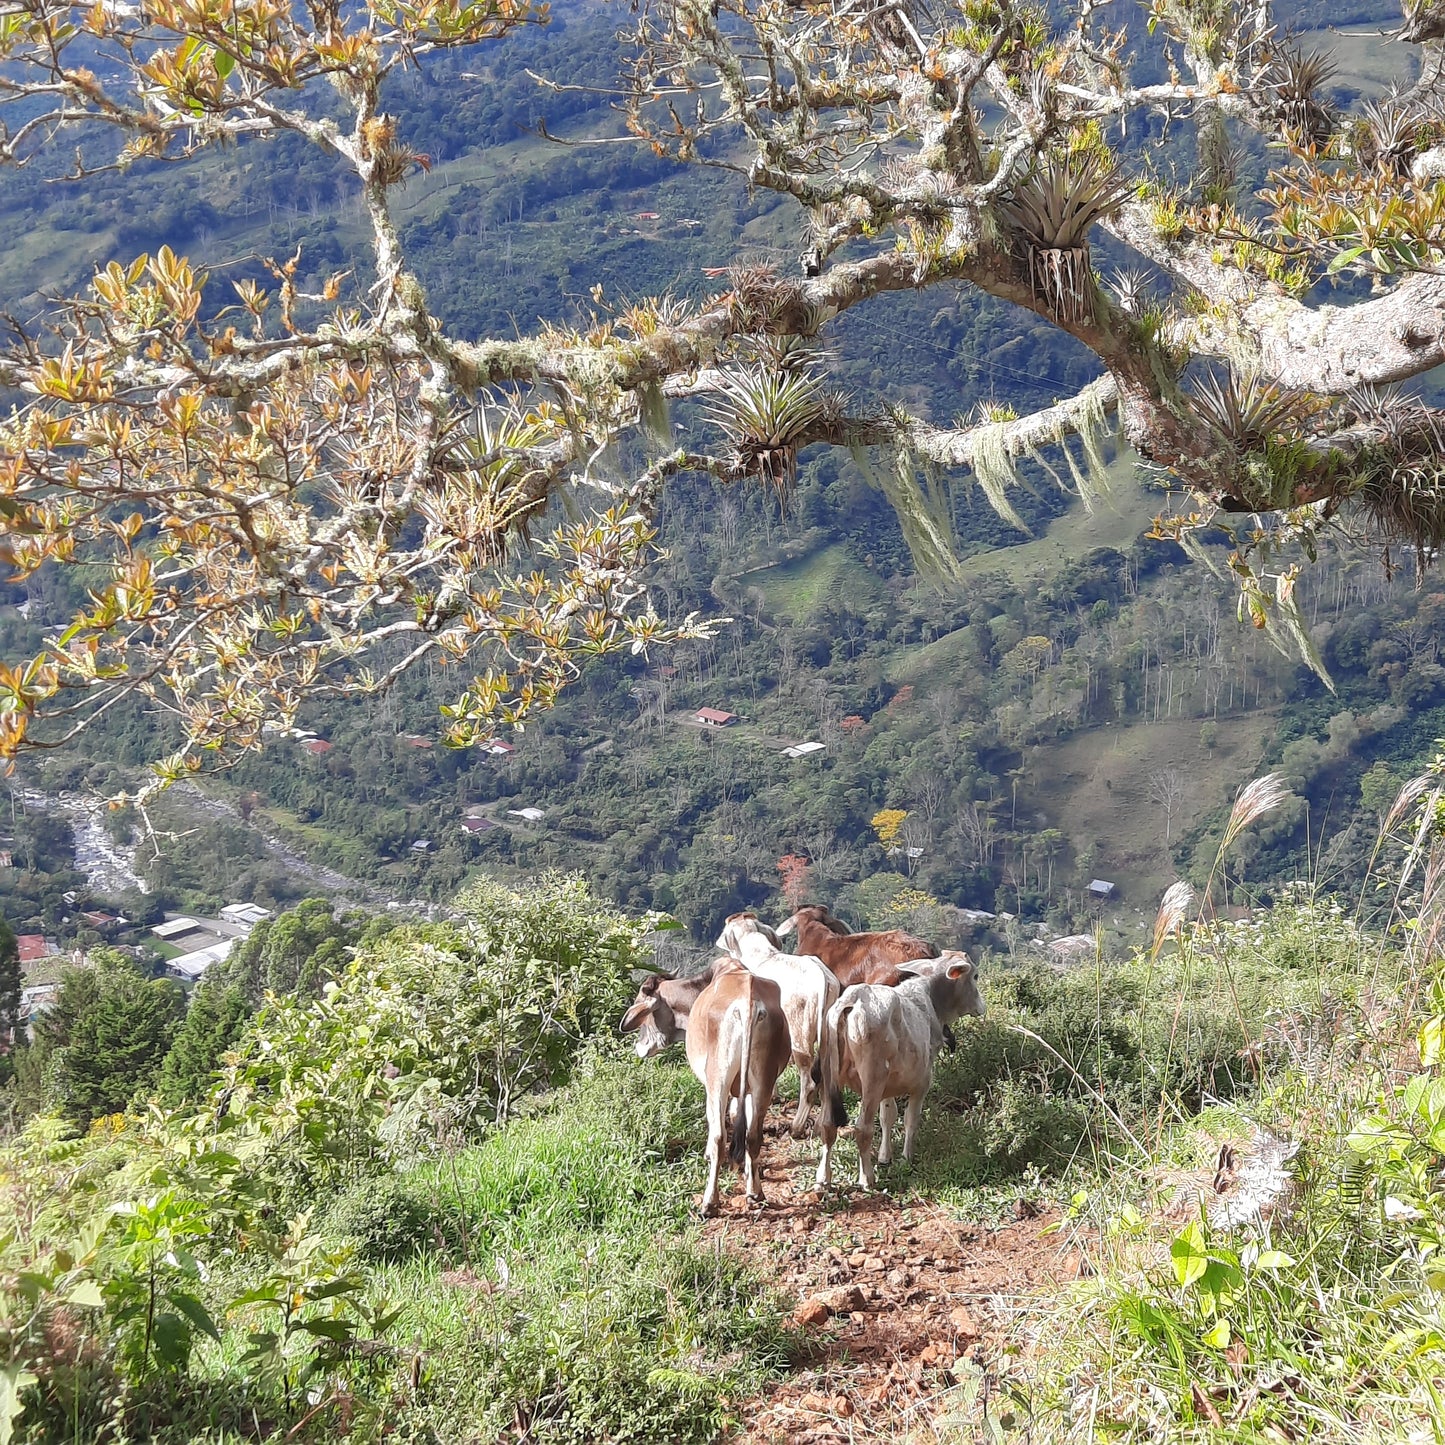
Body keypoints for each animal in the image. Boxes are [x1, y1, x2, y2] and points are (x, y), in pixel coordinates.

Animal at [615, 965, 786, 1213]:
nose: (639, 1047)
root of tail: (747, 1004)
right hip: (763, 1082)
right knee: (753, 1136)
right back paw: (755, 1193)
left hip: (718, 1078)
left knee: (719, 1137)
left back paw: (709, 1201)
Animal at [826, 953, 982, 1190]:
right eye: (975, 976)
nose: (981, 1006)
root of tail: (855, 997)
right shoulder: (922, 1083)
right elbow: (910, 1119)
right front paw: (907, 1157)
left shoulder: (887, 1089)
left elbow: (887, 1116)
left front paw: (885, 1156)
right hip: (872, 1078)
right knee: (863, 1129)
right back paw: (867, 1178)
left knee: (827, 1124)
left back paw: (823, 1178)